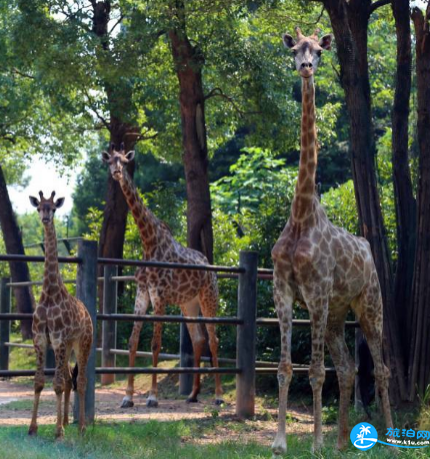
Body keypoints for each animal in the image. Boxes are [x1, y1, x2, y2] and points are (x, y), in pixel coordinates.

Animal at [28, 190, 93, 438]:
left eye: (54, 208)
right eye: (39, 208)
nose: (46, 219)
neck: (49, 294)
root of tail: (88, 314)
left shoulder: (58, 339)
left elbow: (55, 384)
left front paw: (57, 432)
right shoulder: (40, 339)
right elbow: (39, 382)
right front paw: (33, 428)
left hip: (83, 343)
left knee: (81, 381)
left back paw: (82, 426)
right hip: (69, 346)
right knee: (67, 380)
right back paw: (66, 421)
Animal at [102, 146, 223, 408]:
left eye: (124, 161)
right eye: (110, 162)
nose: (117, 173)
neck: (148, 242)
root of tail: (210, 267)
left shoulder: (159, 297)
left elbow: (155, 345)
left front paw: (152, 397)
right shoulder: (142, 293)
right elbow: (132, 342)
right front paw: (127, 397)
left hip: (209, 298)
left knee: (213, 340)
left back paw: (218, 396)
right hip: (188, 304)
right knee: (198, 340)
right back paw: (192, 394)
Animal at [272, 28, 394, 456]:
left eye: (321, 52)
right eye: (294, 49)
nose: (306, 68)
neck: (301, 215)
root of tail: (369, 251)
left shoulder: (317, 292)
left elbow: (313, 371)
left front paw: (315, 445)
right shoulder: (283, 290)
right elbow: (285, 367)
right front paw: (280, 443)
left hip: (370, 305)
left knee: (380, 368)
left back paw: (390, 439)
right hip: (340, 315)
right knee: (346, 367)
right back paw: (344, 441)